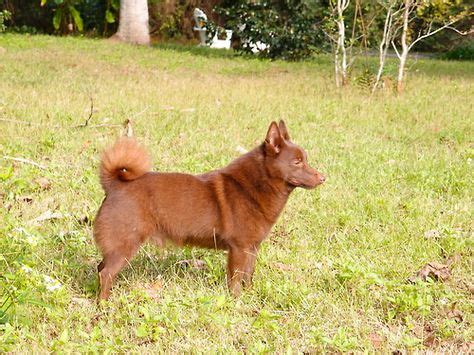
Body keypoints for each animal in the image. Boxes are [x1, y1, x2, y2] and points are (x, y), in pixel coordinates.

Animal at [95, 121, 326, 298]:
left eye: (306, 160)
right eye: (297, 162)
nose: (323, 177)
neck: (255, 186)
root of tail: (114, 184)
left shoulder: (251, 248)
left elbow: (248, 275)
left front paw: (250, 295)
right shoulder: (239, 248)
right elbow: (236, 279)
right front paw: (237, 301)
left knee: (100, 268)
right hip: (125, 244)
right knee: (106, 273)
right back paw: (105, 305)